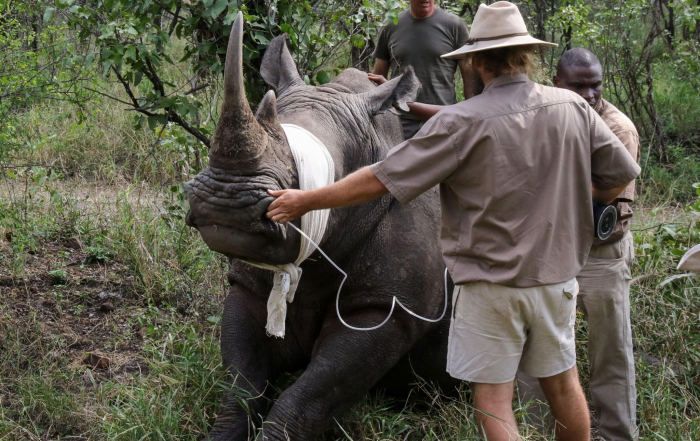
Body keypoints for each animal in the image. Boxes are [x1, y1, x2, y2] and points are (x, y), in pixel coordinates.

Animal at [185, 13, 459, 440]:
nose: (224, 204)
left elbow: (308, 398)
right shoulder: (247, 284)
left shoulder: (389, 308)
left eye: (319, 180)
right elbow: (240, 388)